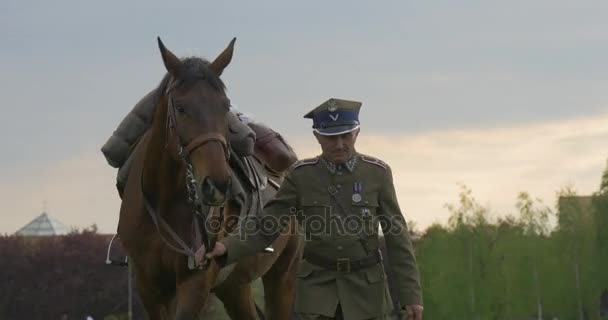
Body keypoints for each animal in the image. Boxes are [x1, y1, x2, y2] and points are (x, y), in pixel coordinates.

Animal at [117, 38, 302, 320]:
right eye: (180, 107)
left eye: (224, 106)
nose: (217, 185)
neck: (163, 201)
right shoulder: (149, 288)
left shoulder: (195, 282)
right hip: (234, 286)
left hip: (283, 275)